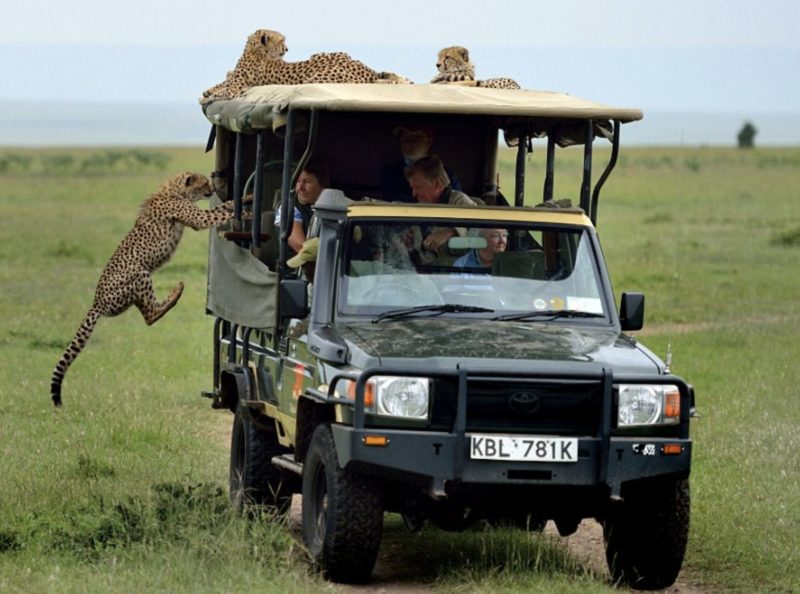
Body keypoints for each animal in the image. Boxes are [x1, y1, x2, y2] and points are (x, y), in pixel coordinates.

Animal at [49, 169, 233, 404]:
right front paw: (241, 204)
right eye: (204, 183)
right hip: (139, 272)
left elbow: (220, 211)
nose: (211, 189)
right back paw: (176, 293)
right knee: (150, 315)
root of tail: (95, 303)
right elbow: (217, 214)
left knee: (147, 313)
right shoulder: (198, 219)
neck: (173, 190)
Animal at [200, 28, 412, 103]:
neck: (255, 50)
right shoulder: (234, 78)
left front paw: (212, 94)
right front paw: (209, 90)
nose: (287, 48)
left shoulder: (237, 87)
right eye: (281, 40)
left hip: (317, 78)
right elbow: (224, 81)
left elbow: (227, 88)